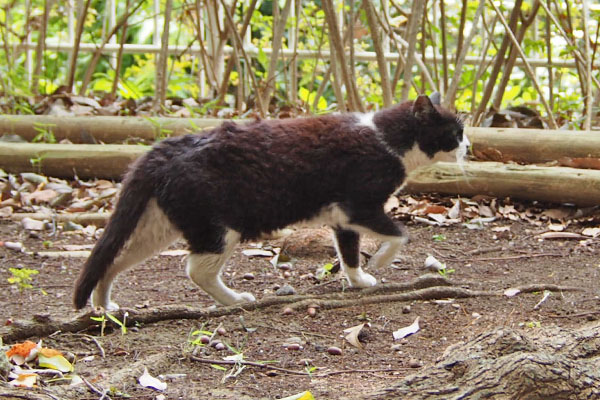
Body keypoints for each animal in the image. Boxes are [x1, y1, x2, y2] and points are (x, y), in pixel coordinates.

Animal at [74, 95, 468, 310]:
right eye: (456, 132)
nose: (469, 145)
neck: (387, 139)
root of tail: (159, 152)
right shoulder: (359, 205)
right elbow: (401, 234)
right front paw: (382, 262)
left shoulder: (343, 217)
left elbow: (349, 252)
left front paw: (359, 281)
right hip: (218, 227)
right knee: (196, 269)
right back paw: (235, 300)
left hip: (160, 226)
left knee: (113, 260)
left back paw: (104, 306)